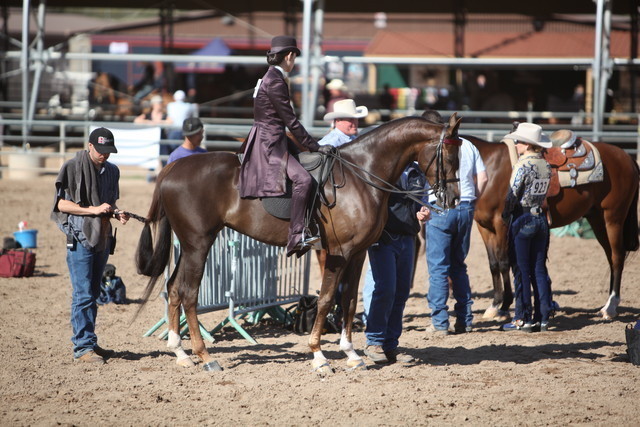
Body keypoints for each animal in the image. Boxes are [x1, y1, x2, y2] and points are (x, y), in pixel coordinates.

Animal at [135, 114, 463, 373]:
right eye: (449, 156)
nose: (453, 199)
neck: (361, 174)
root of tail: (172, 169)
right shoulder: (338, 254)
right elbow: (327, 299)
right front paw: (319, 356)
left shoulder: (358, 254)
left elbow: (349, 301)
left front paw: (351, 354)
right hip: (198, 244)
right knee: (189, 293)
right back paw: (205, 356)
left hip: (190, 246)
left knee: (174, 289)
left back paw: (180, 352)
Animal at [466, 134, 639, 321]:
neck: (490, 168)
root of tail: (627, 157)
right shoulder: (484, 227)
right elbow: (493, 264)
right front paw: (494, 306)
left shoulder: (501, 224)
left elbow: (504, 263)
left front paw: (504, 307)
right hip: (598, 221)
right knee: (610, 257)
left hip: (613, 218)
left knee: (617, 256)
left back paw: (610, 307)